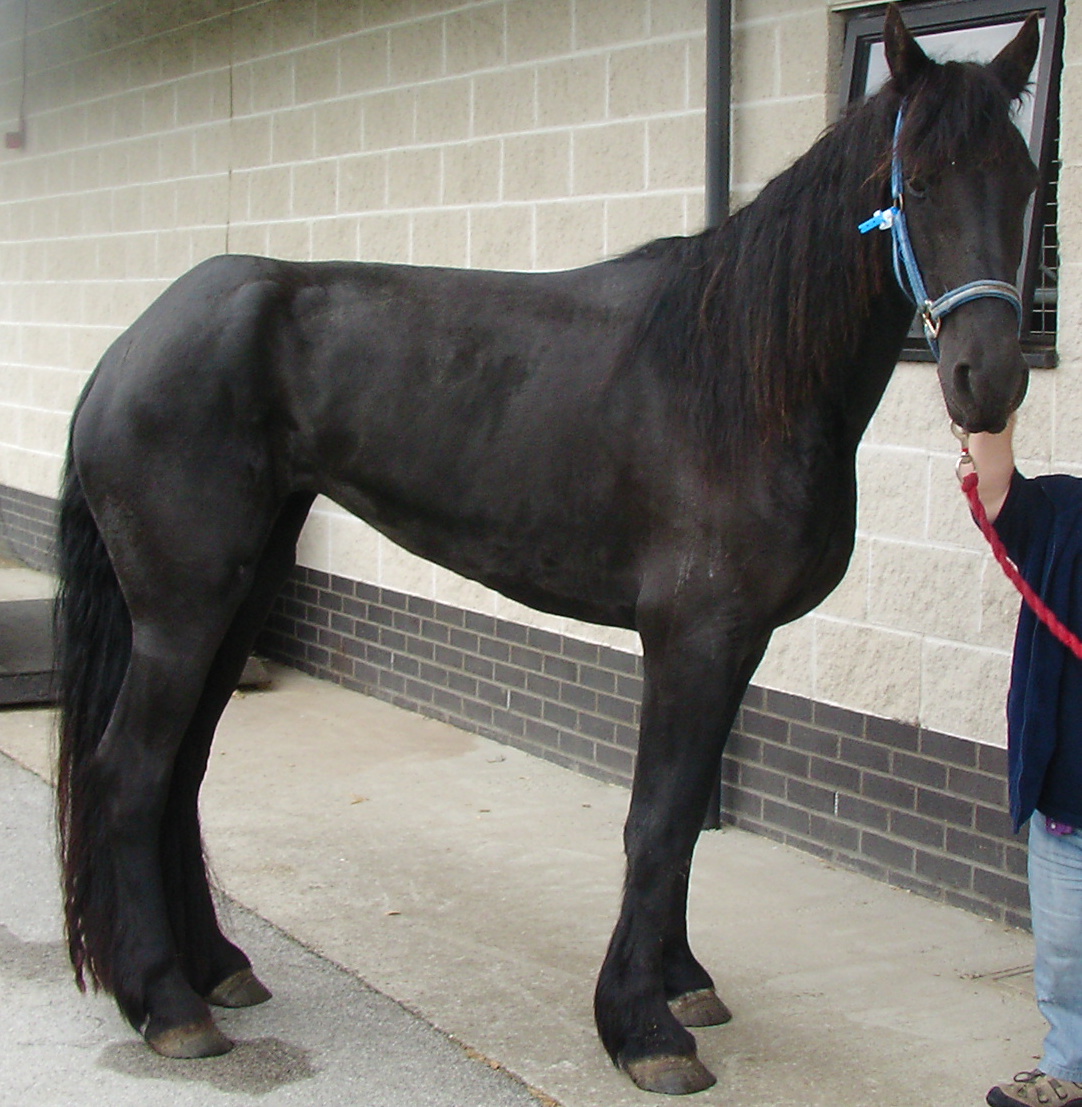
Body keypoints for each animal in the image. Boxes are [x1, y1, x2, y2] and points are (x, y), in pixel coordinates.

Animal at [54, 7, 1039, 1095]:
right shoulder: (693, 637)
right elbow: (657, 819)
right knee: (130, 774)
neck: (739, 377)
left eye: (1028, 182)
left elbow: (685, 816)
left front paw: (681, 984)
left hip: (241, 594)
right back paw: (168, 1004)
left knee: (180, 772)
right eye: (919, 183)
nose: (987, 381)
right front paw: (643, 1029)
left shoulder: (737, 645)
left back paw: (216, 968)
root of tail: (130, 347)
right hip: (183, 610)